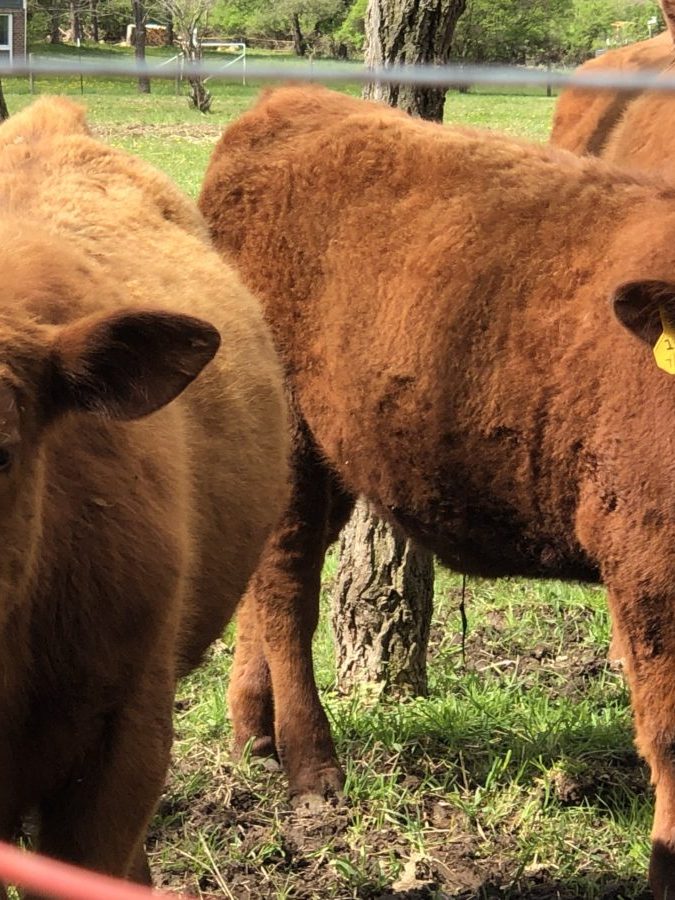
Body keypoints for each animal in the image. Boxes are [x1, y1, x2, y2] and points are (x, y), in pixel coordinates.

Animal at [200, 84, 675, 898]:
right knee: (287, 588)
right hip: (291, 439)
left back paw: (254, 733)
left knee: (265, 584)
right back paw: (312, 770)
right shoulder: (648, 565)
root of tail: (285, 102)